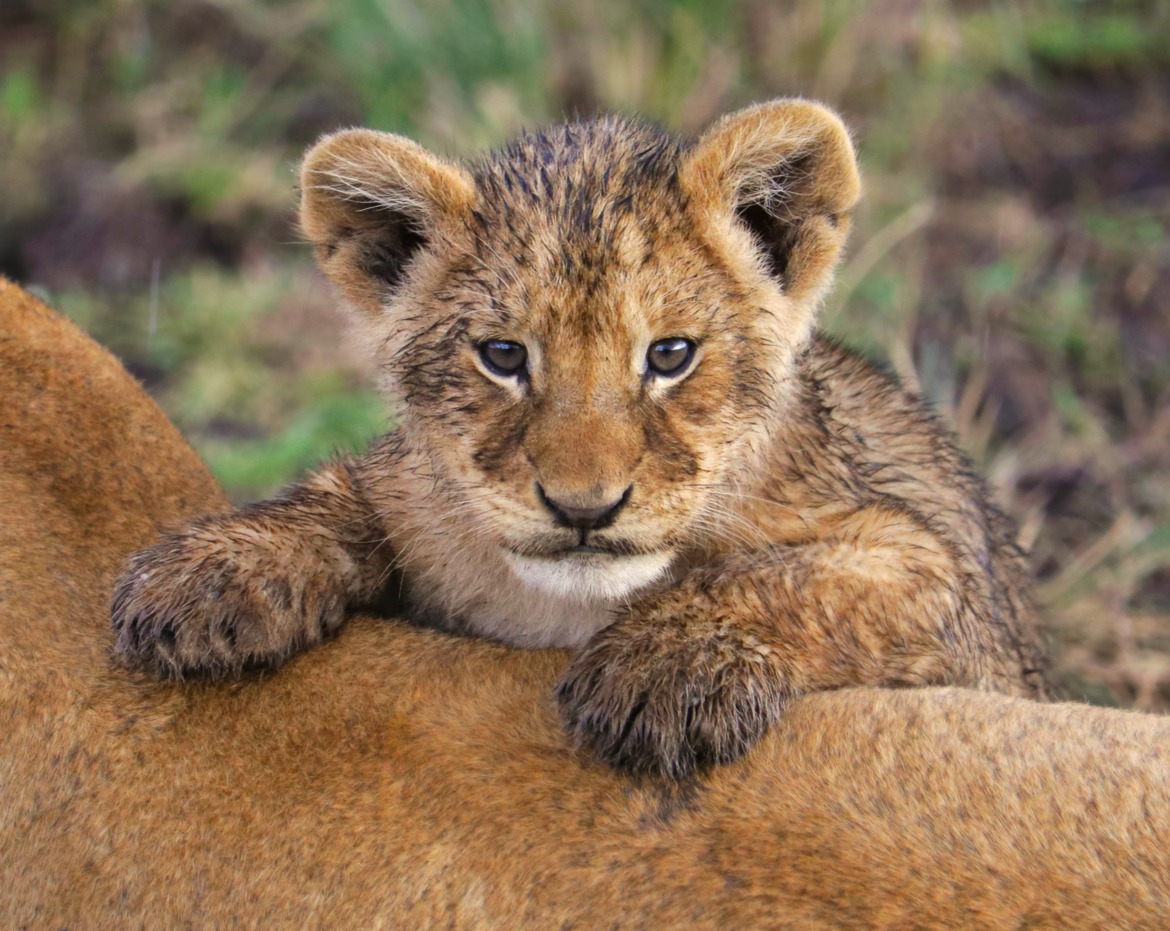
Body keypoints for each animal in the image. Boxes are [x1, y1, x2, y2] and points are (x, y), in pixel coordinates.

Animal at [109, 99, 1046, 778]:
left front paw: (662, 669)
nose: (584, 508)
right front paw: (213, 573)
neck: (567, 607)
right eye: (503, 355)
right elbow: (349, 493)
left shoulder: (952, 591)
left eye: (669, 354)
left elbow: (804, 576)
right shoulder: (415, 494)